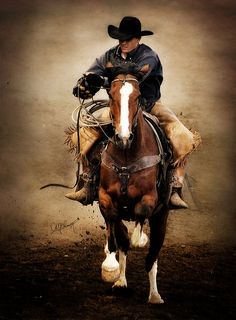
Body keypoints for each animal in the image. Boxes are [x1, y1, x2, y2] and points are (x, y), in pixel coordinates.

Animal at [97, 73, 170, 304]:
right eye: (111, 95)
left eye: (137, 97)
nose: (123, 136)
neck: (127, 155)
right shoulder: (105, 196)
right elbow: (113, 228)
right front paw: (109, 266)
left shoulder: (149, 198)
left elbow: (140, 220)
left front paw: (141, 238)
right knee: (123, 242)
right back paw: (120, 282)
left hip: (161, 217)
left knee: (152, 255)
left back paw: (154, 295)